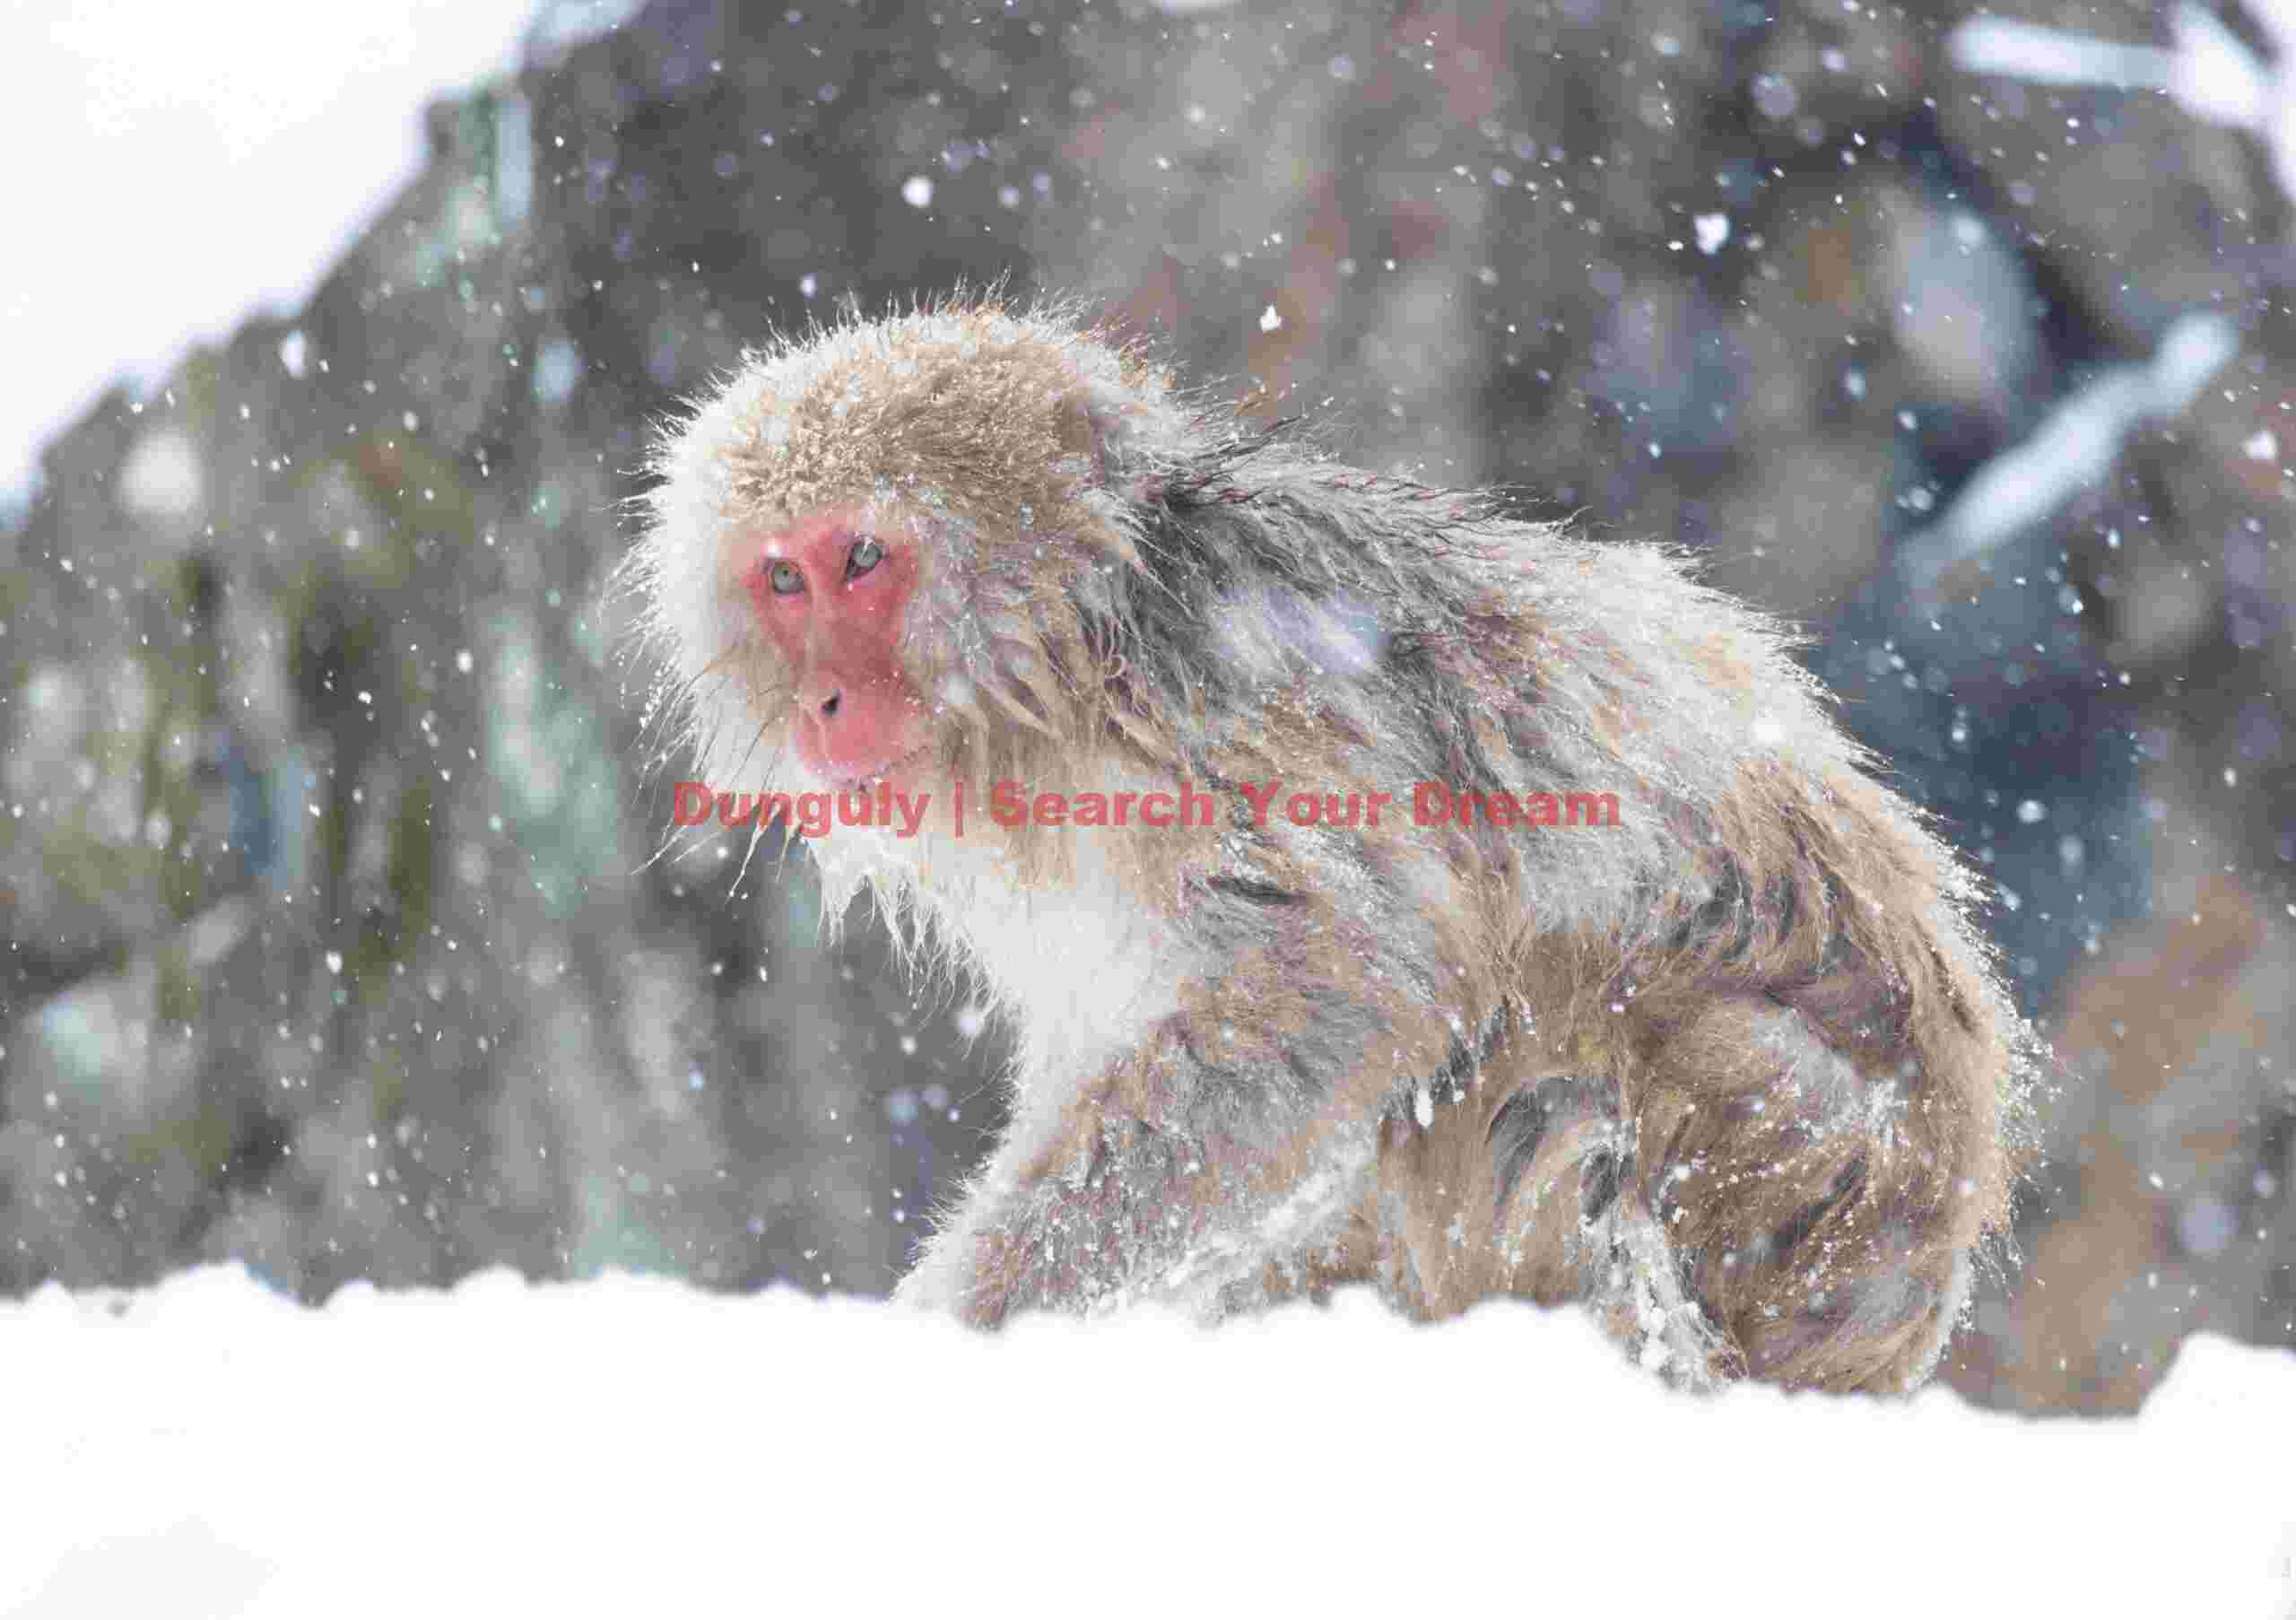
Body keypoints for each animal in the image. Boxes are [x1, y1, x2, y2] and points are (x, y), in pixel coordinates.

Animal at [624, 291, 2038, 1393]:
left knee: (1558, 1069)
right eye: (783, 578)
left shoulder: (1241, 724)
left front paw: (966, 1309)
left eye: (863, 557)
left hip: (1808, 1178)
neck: (1079, 662)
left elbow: (1341, 989)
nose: (823, 702)